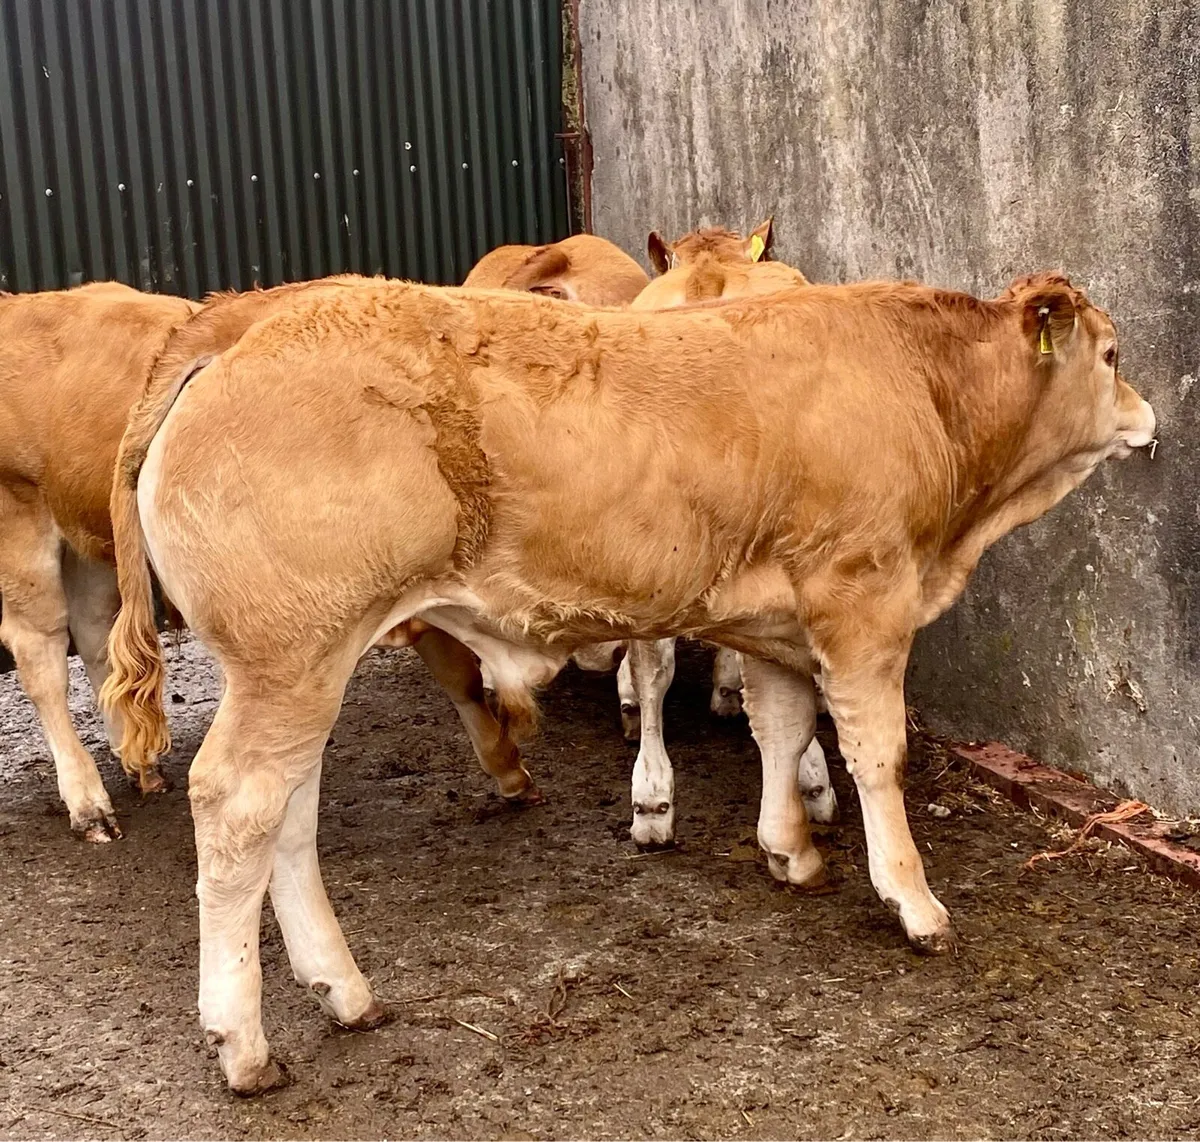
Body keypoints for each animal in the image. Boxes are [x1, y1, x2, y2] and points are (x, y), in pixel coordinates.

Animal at [0, 282, 198, 840]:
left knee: (93, 631)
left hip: (87, 539)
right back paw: (87, 802)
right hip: (19, 522)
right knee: (40, 651)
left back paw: (140, 764)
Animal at [102, 271, 1154, 1092]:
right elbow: (876, 755)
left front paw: (789, 850)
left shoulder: (774, 624)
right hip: (287, 659)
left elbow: (782, 728)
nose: (1151, 416)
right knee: (237, 806)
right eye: (1110, 354)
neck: (924, 390)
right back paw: (242, 1044)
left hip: (305, 665)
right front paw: (912, 900)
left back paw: (343, 991)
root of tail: (248, 323)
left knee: (291, 810)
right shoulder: (862, 602)